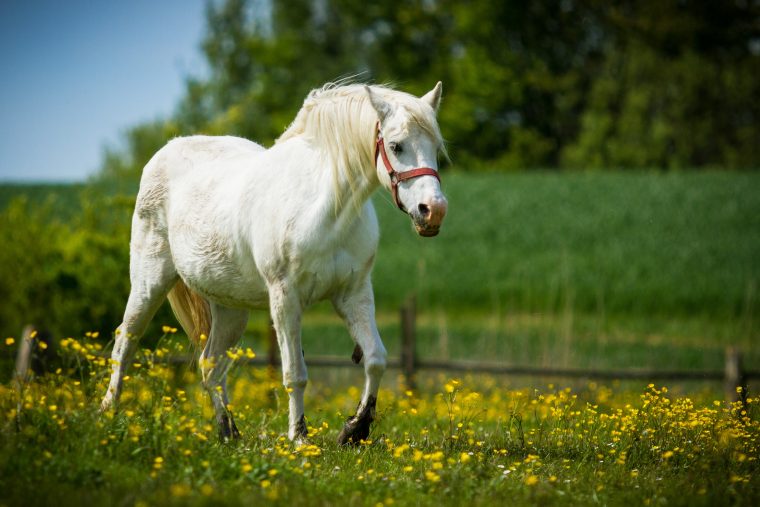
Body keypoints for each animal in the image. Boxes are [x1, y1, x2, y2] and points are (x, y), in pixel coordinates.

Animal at [98, 81, 448, 442]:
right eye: (396, 146)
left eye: (436, 147)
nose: (433, 211)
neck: (326, 208)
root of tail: (163, 153)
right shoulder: (285, 297)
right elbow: (295, 372)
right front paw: (299, 438)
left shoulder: (353, 294)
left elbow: (376, 358)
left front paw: (354, 429)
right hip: (149, 282)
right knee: (126, 342)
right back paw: (109, 414)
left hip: (230, 310)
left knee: (210, 366)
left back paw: (229, 432)